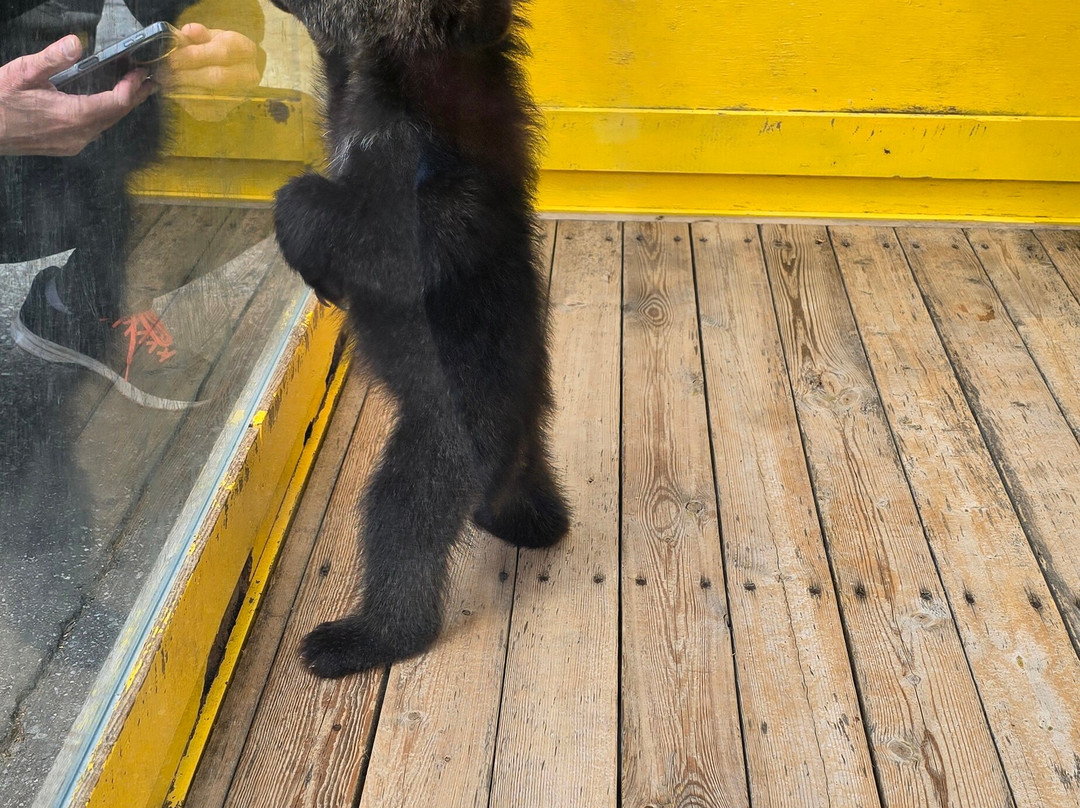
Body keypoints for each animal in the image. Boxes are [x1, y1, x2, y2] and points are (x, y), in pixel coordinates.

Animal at [269, 0, 570, 678]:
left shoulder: (438, 200)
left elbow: (376, 237)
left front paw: (302, 230)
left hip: (439, 449)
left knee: (402, 530)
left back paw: (359, 638)